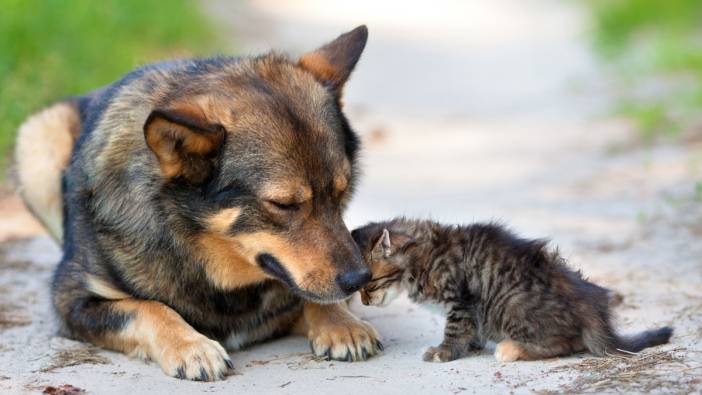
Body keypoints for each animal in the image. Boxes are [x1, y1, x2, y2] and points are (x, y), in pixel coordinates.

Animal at [13, 26, 382, 382]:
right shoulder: (73, 300)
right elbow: (147, 308)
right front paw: (191, 346)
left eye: (341, 192)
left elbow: (311, 296)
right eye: (283, 204)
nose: (359, 278)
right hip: (38, 139)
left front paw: (342, 324)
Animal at [354, 218, 672, 364]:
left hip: (511, 305)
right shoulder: (469, 309)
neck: (423, 255)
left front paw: (443, 352)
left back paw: (511, 348)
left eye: (369, 285)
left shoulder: (460, 301)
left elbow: (455, 330)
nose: (365, 303)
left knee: (566, 343)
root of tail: (591, 306)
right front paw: (472, 345)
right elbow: (471, 330)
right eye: (359, 290)